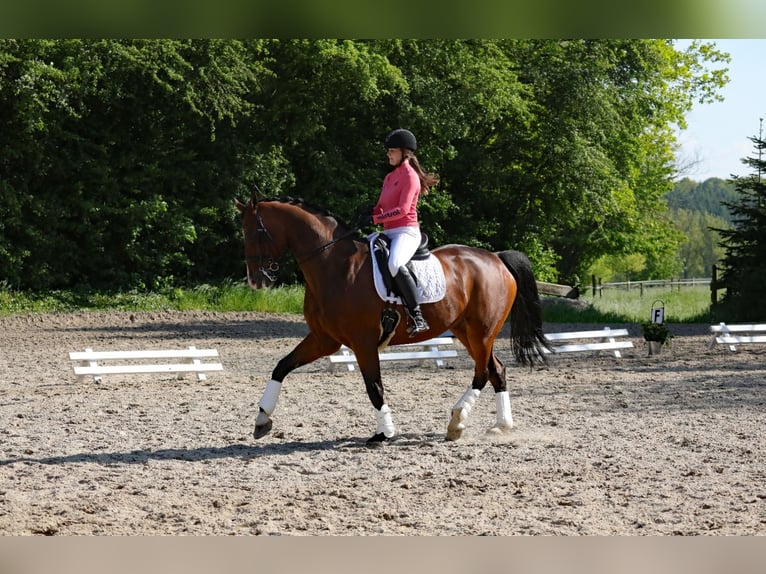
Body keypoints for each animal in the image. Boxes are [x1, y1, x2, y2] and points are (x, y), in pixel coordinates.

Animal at [236, 196, 552, 444]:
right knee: (497, 370)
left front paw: (384, 433)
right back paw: (500, 426)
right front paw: (262, 419)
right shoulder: (325, 340)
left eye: (256, 232)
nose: (255, 281)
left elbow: (374, 387)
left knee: (483, 373)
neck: (333, 266)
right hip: (467, 331)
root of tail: (496, 258)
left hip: (482, 332)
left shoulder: (363, 342)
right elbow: (281, 367)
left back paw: (456, 421)